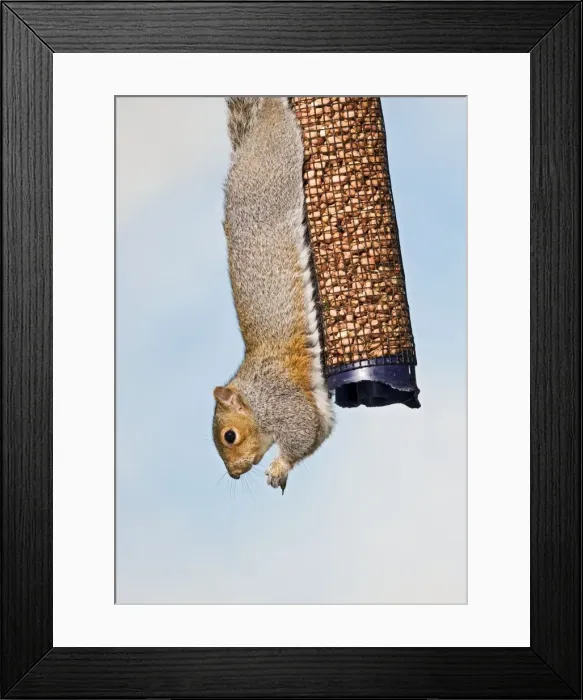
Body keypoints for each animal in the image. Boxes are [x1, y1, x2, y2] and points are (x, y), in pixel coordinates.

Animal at [212, 97, 334, 493]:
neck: (253, 395)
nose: (235, 473)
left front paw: (279, 466)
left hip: (278, 162)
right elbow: (320, 432)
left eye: (230, 436)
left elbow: (301, 433)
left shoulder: (281, 402)